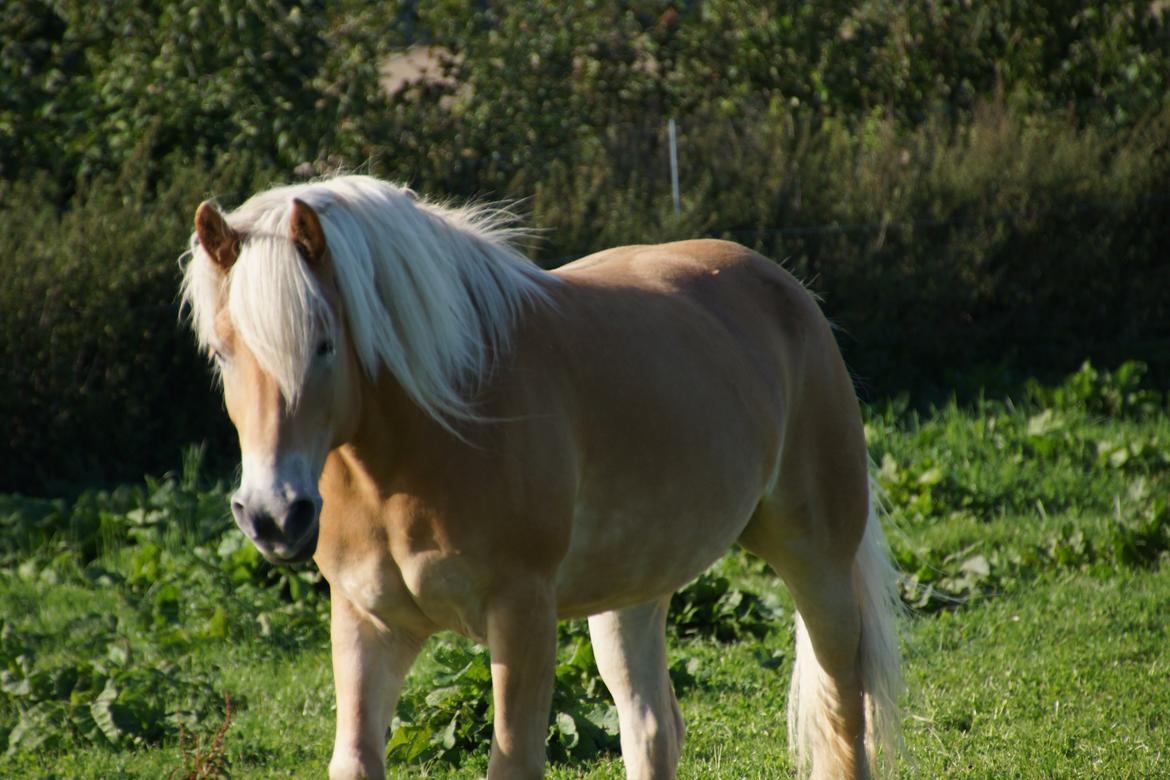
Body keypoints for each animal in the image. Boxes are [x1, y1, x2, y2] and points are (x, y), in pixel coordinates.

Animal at [177, 176, 898, 780]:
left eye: (325, 344)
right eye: (221, 351)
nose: (274, 516)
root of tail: (788, 290)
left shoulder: (521, 617)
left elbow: (514, 762)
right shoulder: (367, 623)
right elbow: (354, 760)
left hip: (816, 561)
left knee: (843, 703)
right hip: (632, 594)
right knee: (652, 728)